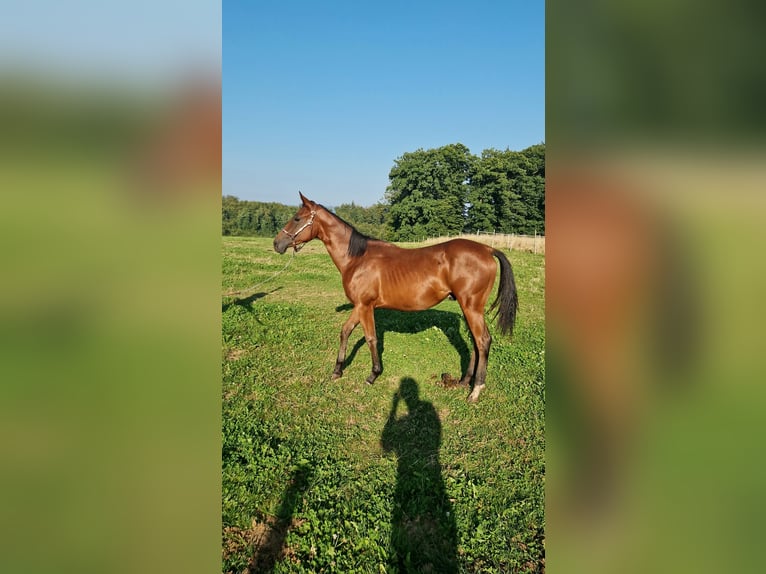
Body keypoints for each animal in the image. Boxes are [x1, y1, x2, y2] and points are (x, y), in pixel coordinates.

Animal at [273, 193, 518, 403]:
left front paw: (373, 375)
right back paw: (463, 382)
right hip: (469, 309)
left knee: (483, 341)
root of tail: (487, 249)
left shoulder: (365, 306)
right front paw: (337, 370)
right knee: (476, 343)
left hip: (471, 308)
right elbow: (345, 331)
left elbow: (371, 338)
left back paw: (475, 390)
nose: (277, 243)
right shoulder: (359, 306)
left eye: (297, 218)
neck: (357, 259)